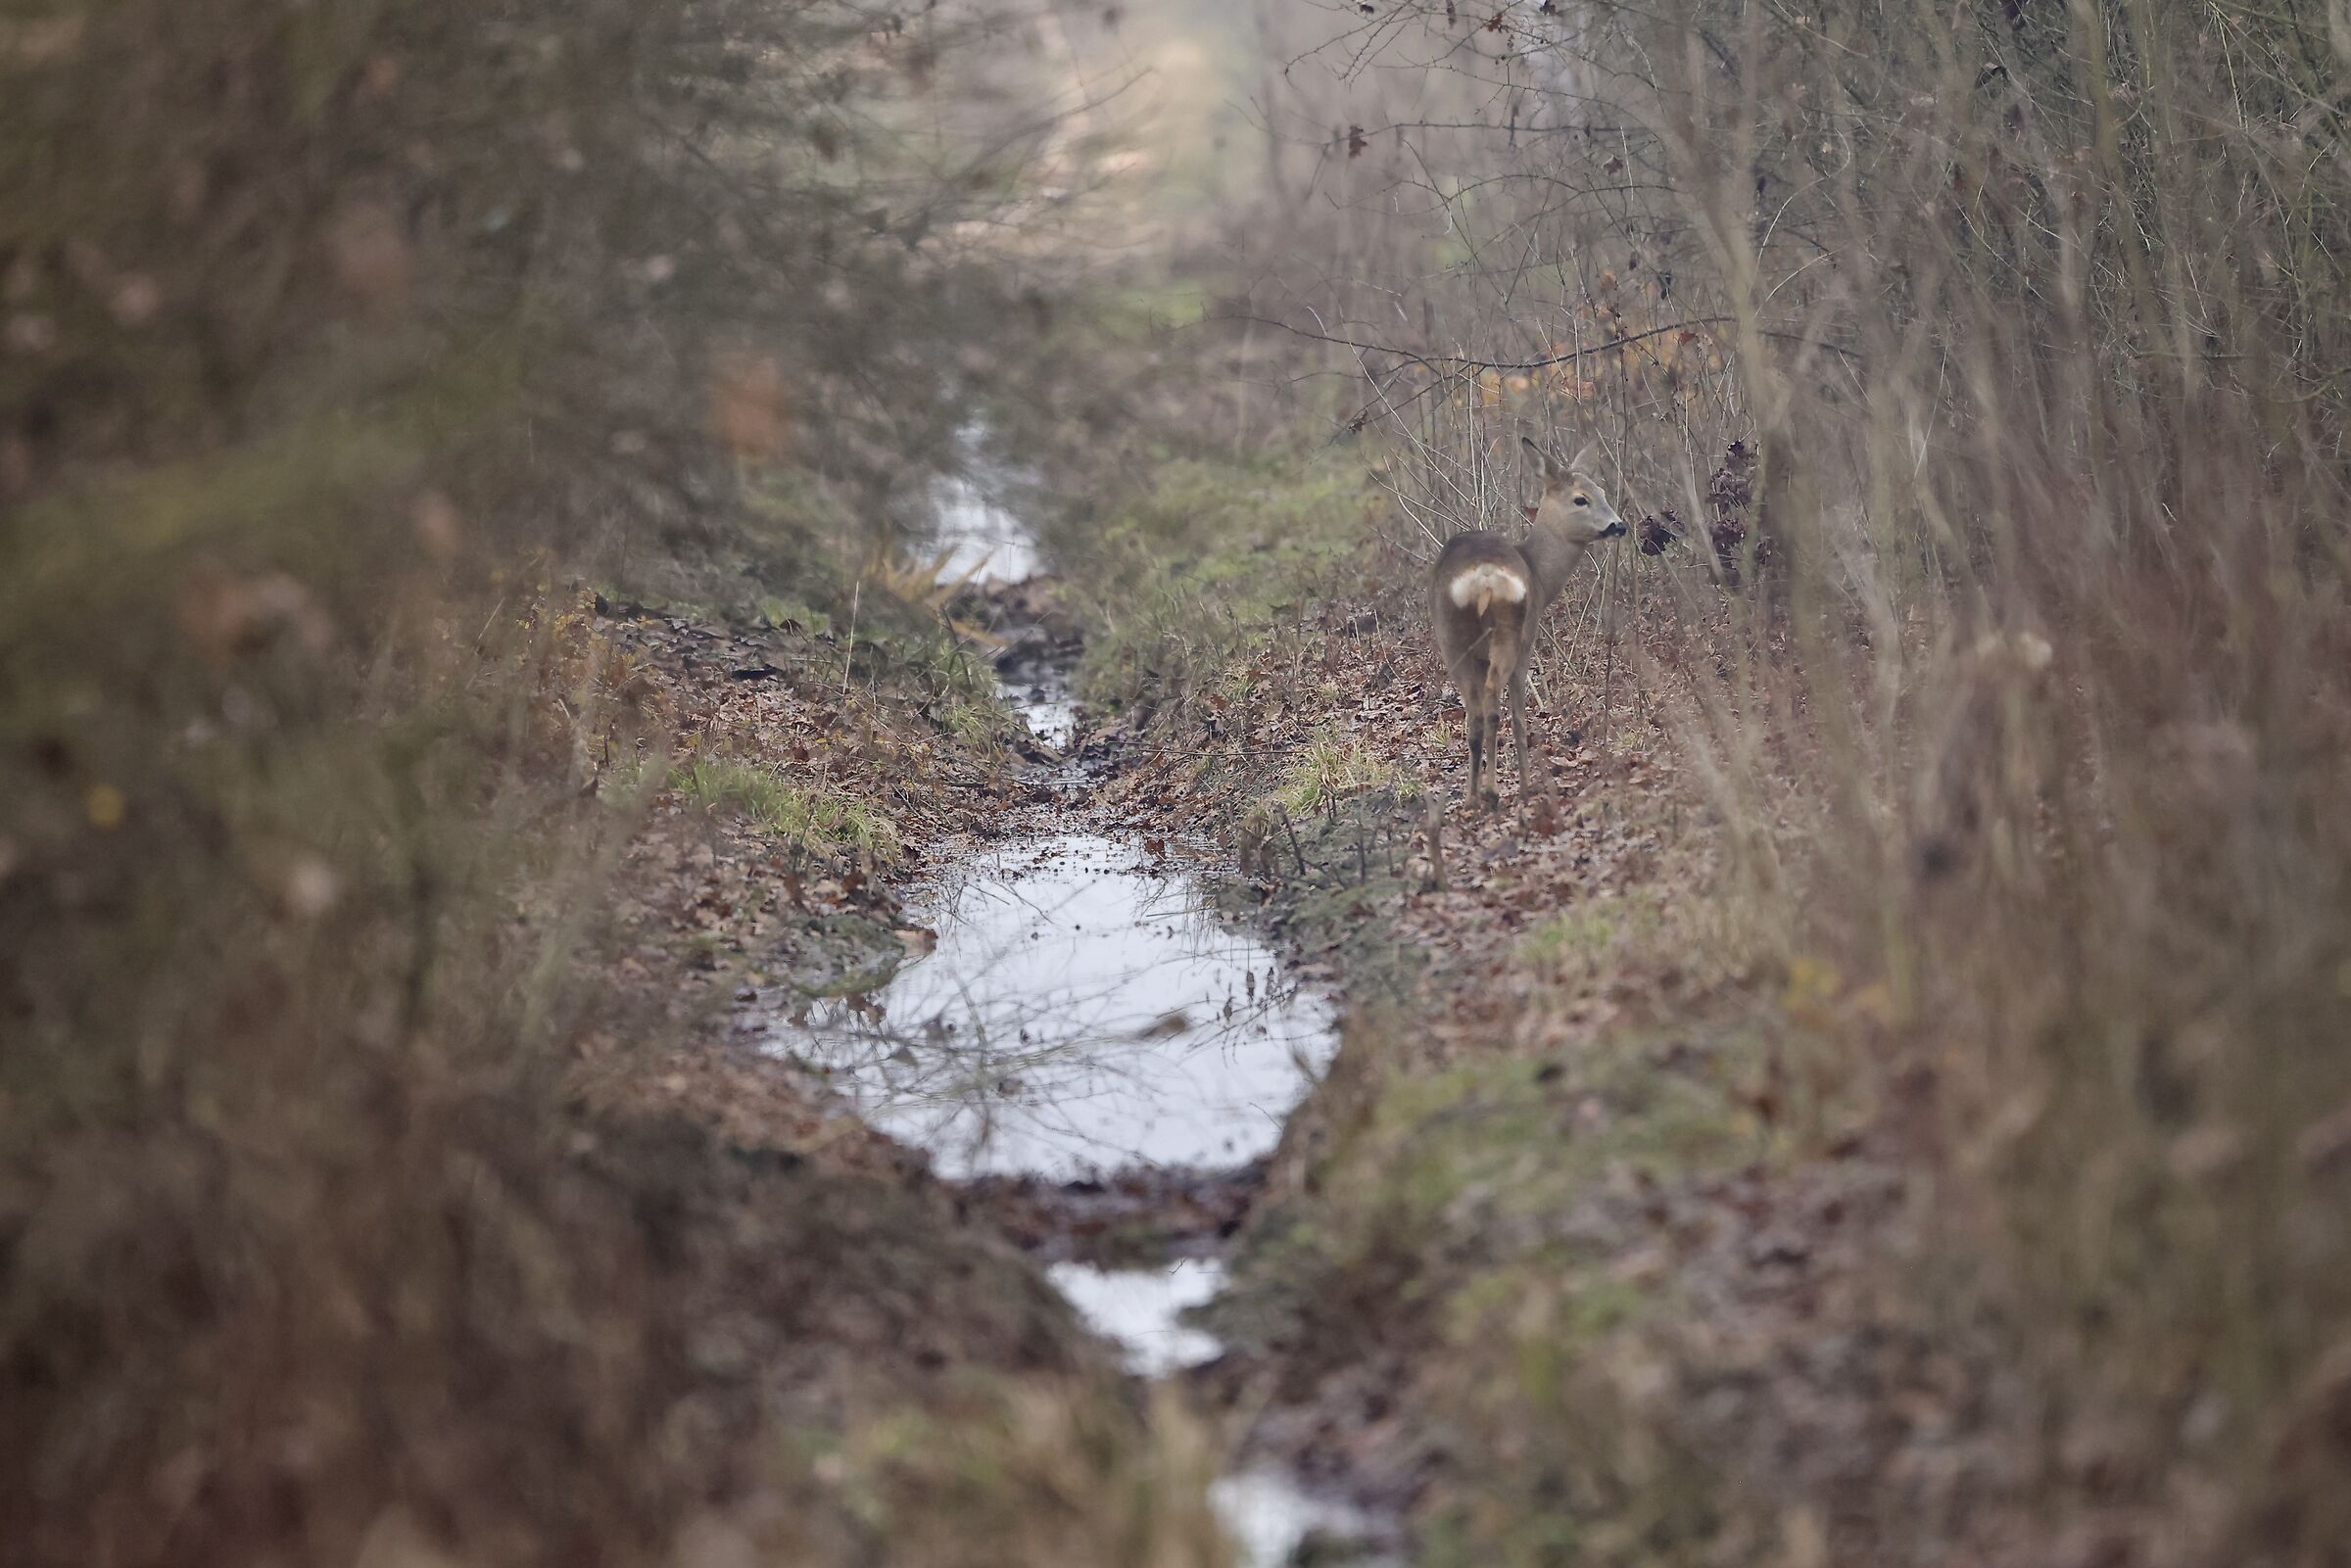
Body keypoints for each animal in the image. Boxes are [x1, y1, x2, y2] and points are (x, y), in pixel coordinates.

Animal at [1430, 437, 1627, 811]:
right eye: (1581, 498)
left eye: (1603, 492)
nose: (1618, 526)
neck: (1539, 573)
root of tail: (1485, 576)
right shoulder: (1530, 638)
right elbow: (1521, 718)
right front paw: (1524, 785)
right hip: (1512, 631)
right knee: (1497, 706)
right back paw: (1496, 791)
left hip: (1452, 637)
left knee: (1475, 714)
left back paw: (1472, 797)